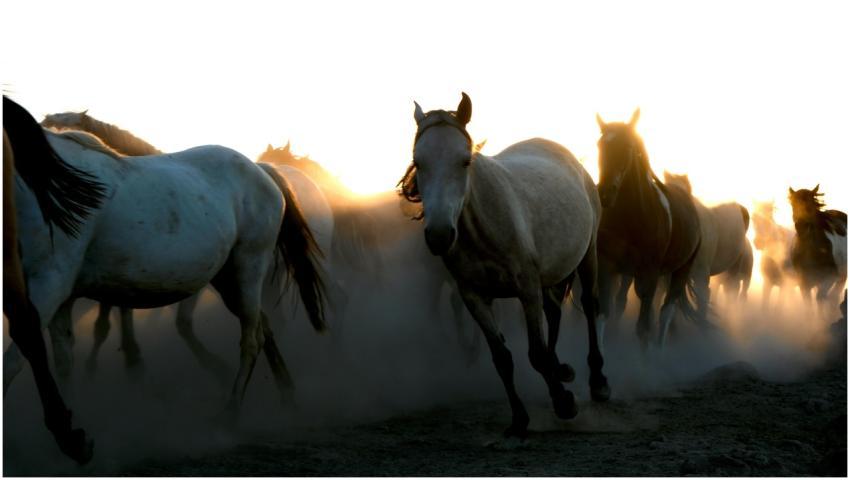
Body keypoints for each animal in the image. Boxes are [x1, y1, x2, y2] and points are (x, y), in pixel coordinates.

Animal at [4, 105, 327, 438]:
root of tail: (262, 171)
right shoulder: (60, 295)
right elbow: (63, 360)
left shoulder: (48, 286)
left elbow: (16, 360)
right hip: (227, 280)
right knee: (263, 326)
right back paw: (286, 395)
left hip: (249, 268)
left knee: (251, 339)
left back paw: (230, 414)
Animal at [400, 93, 609, 437]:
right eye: (419, 163)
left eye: (465, 161)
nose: (440, 235)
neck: (484, 226)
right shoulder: (474, 297)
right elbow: (502, 358)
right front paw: (520, 418)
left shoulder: (526, 288)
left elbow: (535, 354)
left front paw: (564, 403)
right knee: (554, 312)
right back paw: (562, 370)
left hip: (588, 254)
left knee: (590, 306)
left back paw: (598, 382)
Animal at [595, 109, 701, 350]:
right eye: (600, 146)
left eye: (627, 147)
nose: (605, 193)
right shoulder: (607, 267)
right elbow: (603, 314)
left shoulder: (650, 275)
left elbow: (644, 328)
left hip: (680, 271)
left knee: (666, 311)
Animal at [788, 185, 847, 318]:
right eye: (793, 203)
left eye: (810, 203)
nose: (801, 226)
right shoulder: (804, 282)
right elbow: (808, 306)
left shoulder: (830, 277)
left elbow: (821, 298)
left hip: (842, 276)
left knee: (834, 297)